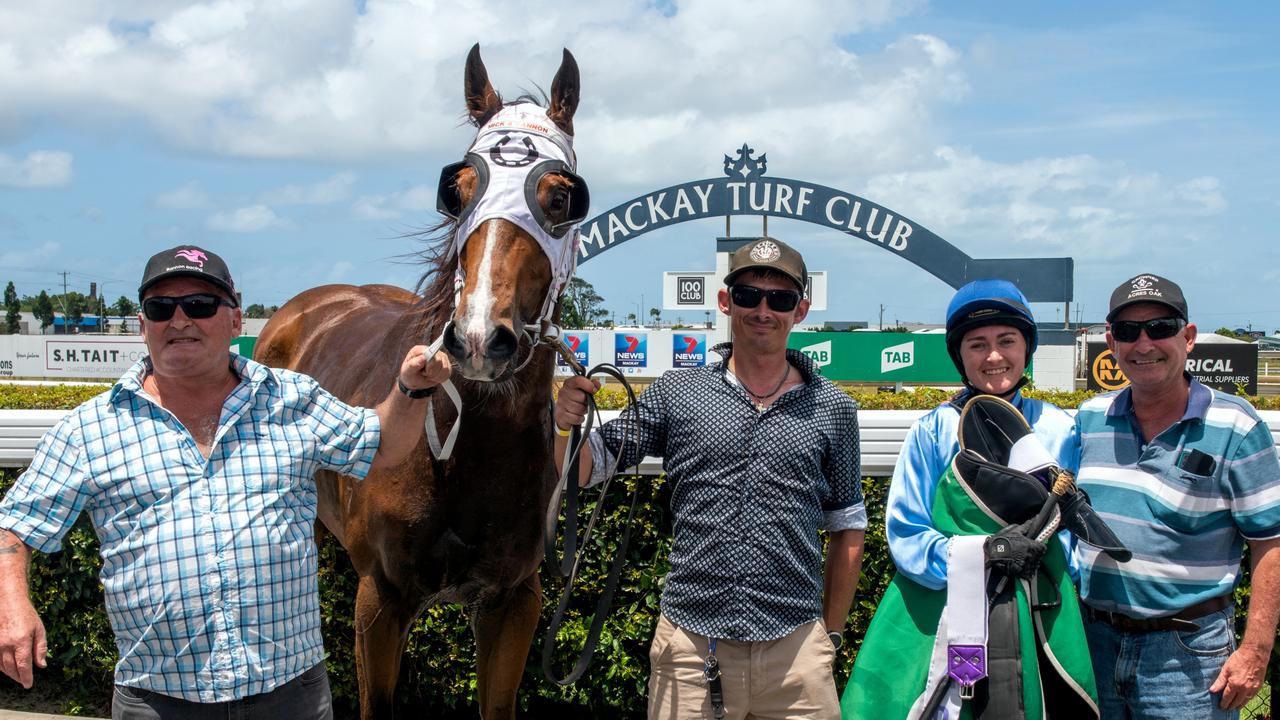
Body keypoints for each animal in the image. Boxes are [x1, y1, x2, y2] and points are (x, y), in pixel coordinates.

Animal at [250, 46, 588, 717]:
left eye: (561, 198)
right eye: (457, 191)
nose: (481, 337)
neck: (467, 452)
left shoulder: (514, 600)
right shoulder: (381, 599)